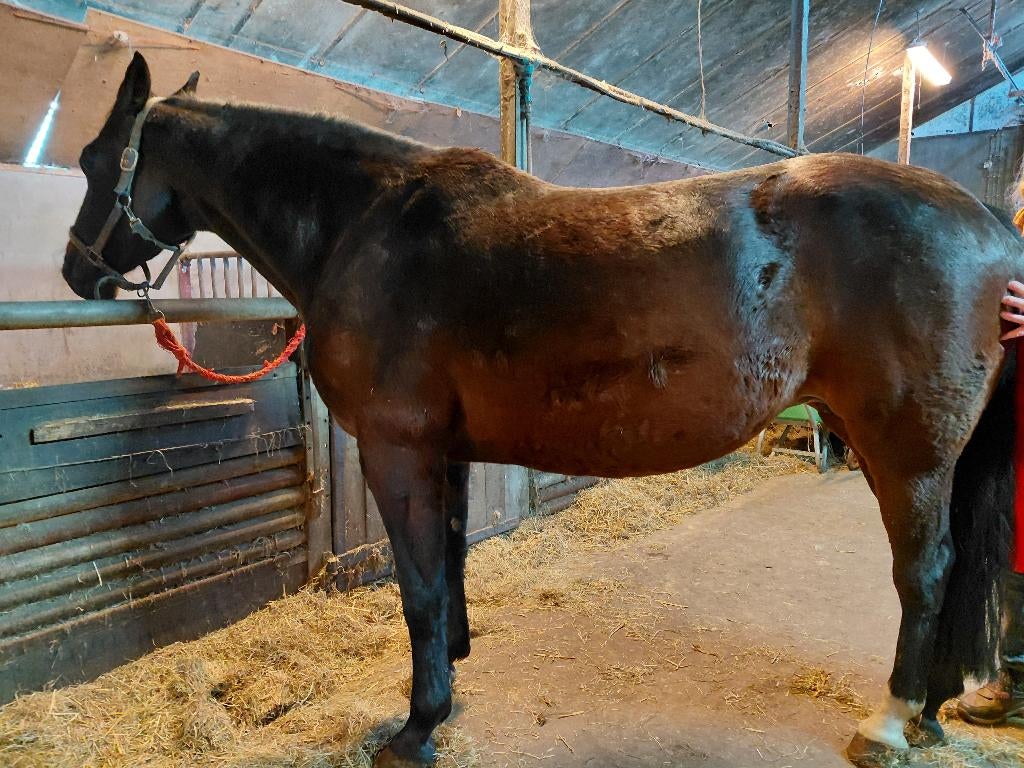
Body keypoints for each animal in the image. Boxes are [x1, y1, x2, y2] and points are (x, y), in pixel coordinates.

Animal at [61, 54, 1019, 767]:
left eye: (95, 162)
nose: (75, 271)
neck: (366, 227)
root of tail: (990, 226)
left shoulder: (395, 448)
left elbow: (417, 587)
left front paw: (415, 729)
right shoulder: (441, 451)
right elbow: (446, 568)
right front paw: (445, 690)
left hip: (906, 450)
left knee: (925, 572)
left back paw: (890, 721)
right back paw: (932, 709)